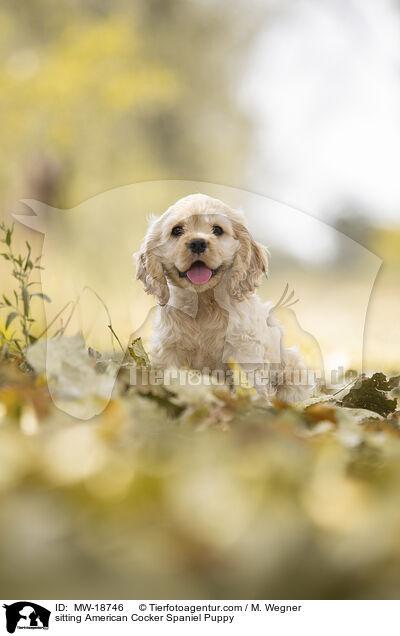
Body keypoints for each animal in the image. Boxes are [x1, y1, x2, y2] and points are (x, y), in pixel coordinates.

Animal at [136, 194, 308, 402]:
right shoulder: (169, 348)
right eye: (177, 230)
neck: (203, 303)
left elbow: (249, 383)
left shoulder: (243, 349)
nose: (198, 243)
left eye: (217, 230)